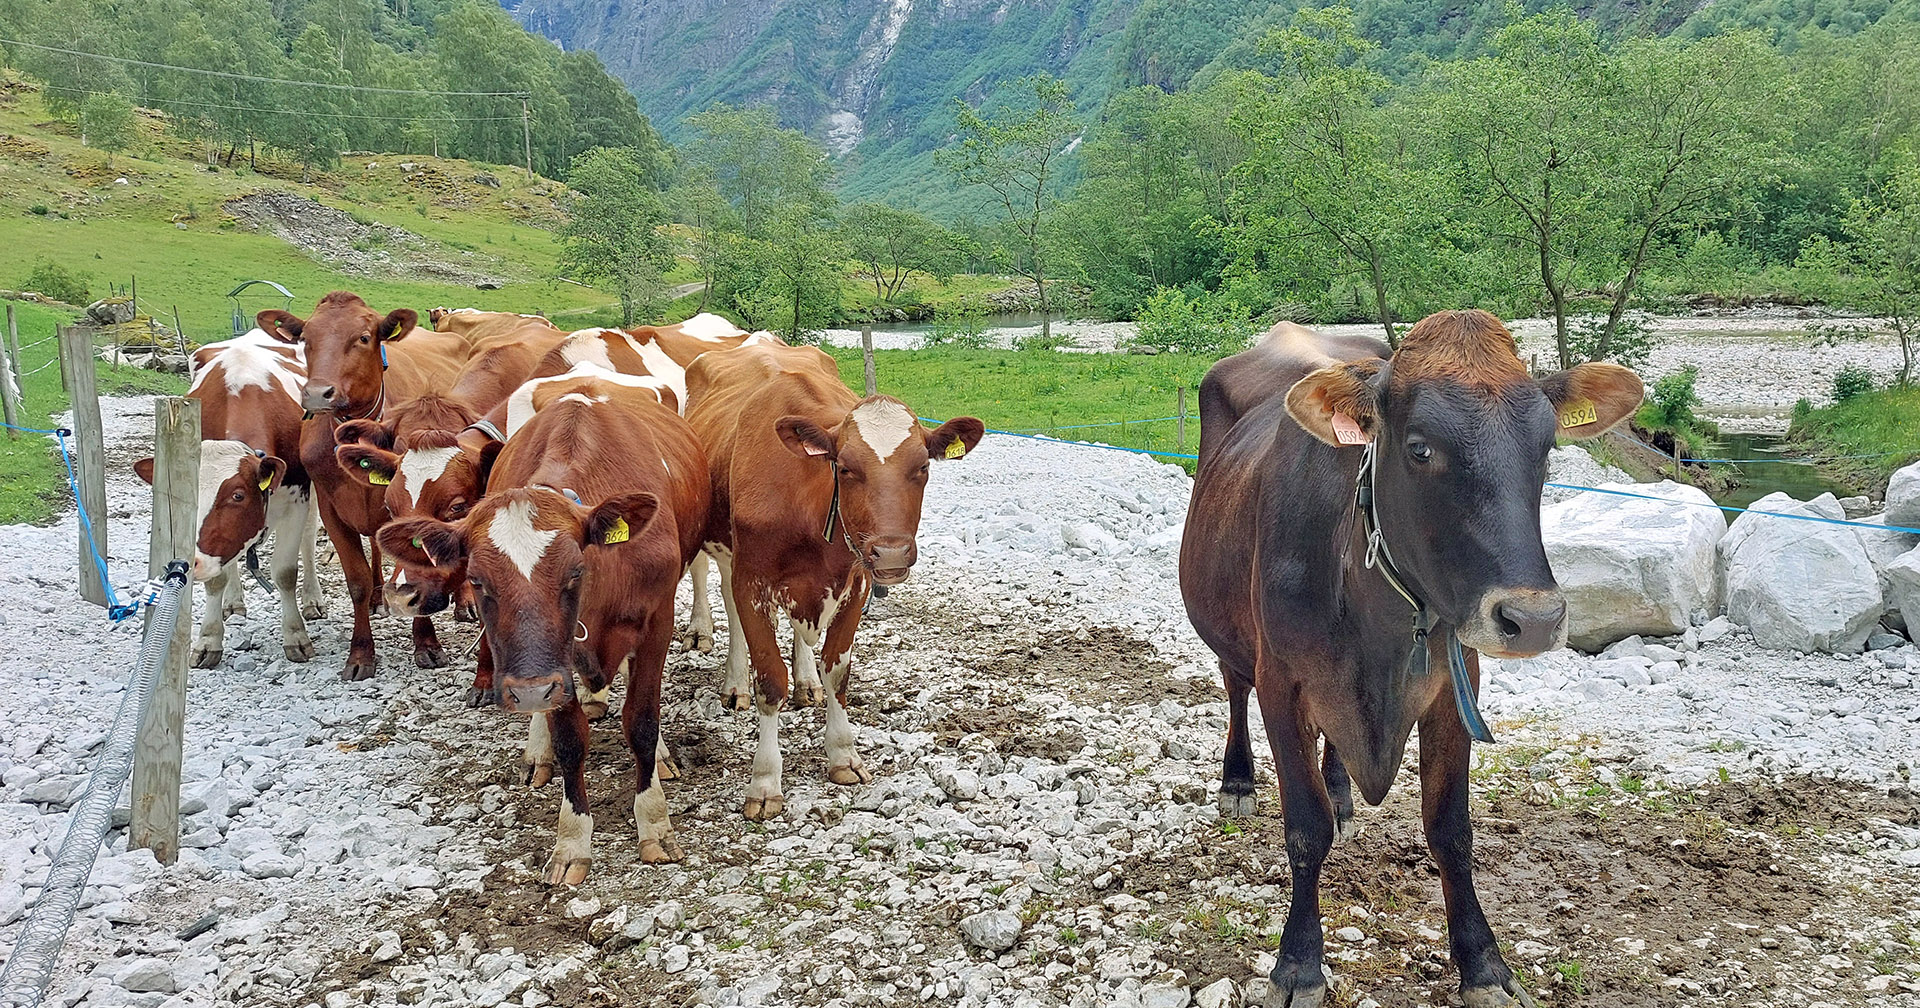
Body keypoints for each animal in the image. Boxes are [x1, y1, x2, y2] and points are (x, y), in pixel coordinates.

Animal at [133, 328, 324, 668]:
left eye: (238, 495)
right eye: (186, 493)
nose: (191, 563)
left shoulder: (297, 497)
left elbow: (285, 572)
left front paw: (295, 635)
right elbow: (215, 580)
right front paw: (209, 639)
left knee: (309, 538)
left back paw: (312, 599)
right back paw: (233, 602)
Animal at [257, 291, 470, 683]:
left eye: (364, 337)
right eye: (305, 339)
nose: (318, 394)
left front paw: (426, 643)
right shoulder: (332, 507)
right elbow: (355, 580)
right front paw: (360, 653)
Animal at [378, 382, 710, 875]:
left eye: (575, 572)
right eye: (477, 580)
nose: (531, 691)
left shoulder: (656, 623)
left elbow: (642, 723)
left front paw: (654, 821)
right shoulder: (556, 666)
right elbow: (570, 739)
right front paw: (572, 839)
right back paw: (539, 749)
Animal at [683, 343, 983, 817]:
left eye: (922, 467)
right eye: (843, 467)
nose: (891, 552)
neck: (805, 499)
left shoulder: (856, 584)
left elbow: (837, 671)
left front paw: (843, 754)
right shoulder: (752, 580)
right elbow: (769, 679)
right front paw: (765, 781)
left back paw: (805, 681)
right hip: (722, 550)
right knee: (727, 604)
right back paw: (734, 682)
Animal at [1175, 311, 1643, 998]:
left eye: (1546, 447)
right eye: (1420, 448)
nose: (1532, 620)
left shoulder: (1454, 689)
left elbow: (1450, 830)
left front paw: (1482, 962)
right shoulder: (1282, 684)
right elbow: (1305, 827)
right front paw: (1299, 962)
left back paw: (1342, 791)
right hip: (1230, 633)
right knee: (1233, 688)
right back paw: (1238, 780)